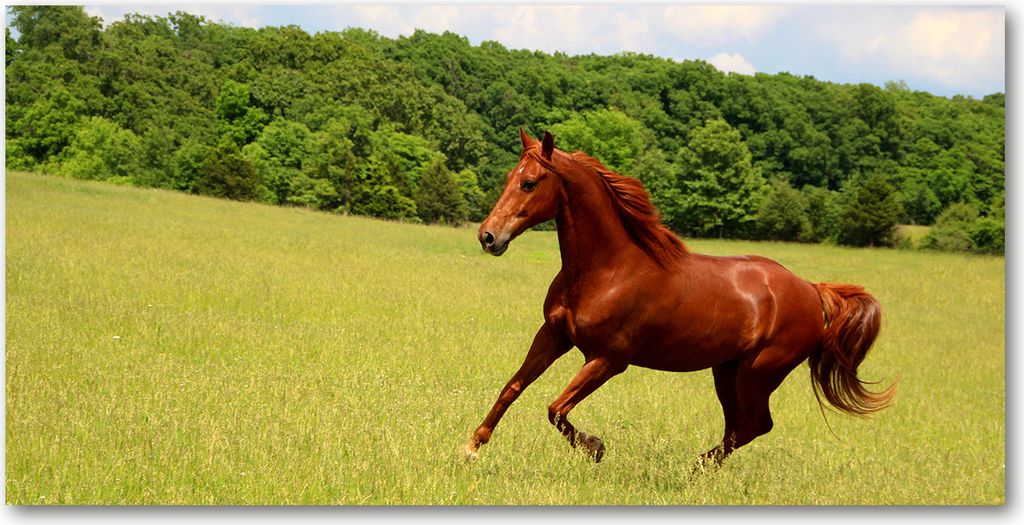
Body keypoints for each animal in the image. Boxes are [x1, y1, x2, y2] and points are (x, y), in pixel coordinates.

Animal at [462, 129, 897, 466]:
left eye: (530, 182)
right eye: (510, 176)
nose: (488, 236)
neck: (608, 270)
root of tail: (811, 289)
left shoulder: (608, 360)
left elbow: (555, 409)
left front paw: (595, 446)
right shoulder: (553, 336)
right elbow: (512, 388)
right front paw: (471, 447)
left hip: (759, 373)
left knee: (755, 425)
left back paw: (695, 468)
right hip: (727, 371)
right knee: (740, 426)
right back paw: (698, 468)